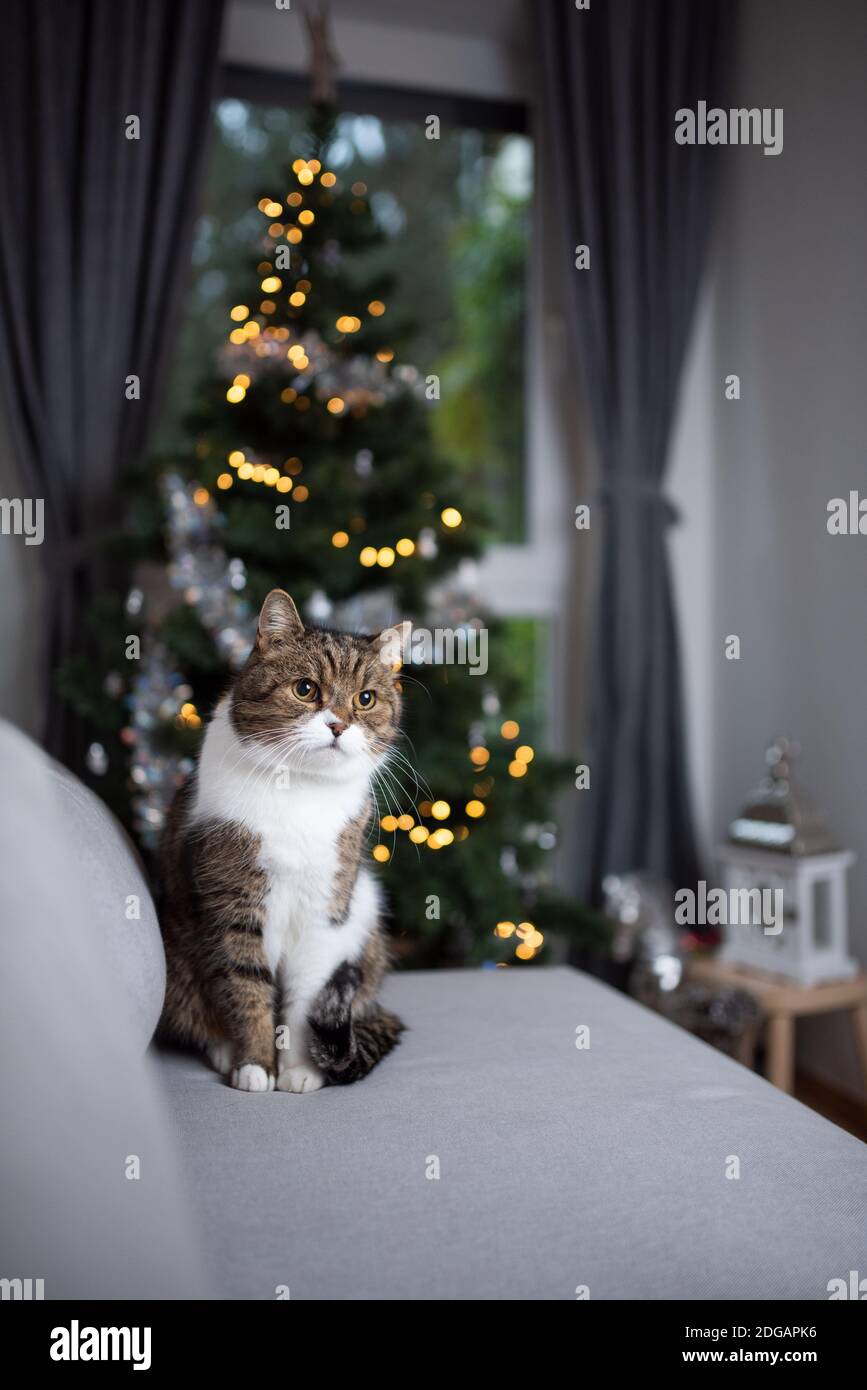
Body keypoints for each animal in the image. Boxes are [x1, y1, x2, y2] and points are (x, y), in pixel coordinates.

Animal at [156, 586, 405, 1084]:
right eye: (305, 689)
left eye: (366, 699)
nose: (338, 724)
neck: (301, 789)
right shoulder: (233, 902)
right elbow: (246, 987)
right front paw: (255, 1064)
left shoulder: (328, 909)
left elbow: (308, 995)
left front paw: (299, 1069)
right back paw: (223, 1050)